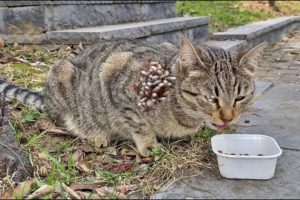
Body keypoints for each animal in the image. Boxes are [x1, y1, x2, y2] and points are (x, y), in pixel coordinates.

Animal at [0, 37, 268, 156]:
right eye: (211, 98)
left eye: (240, 98)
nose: (228, 118)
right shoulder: (116, 79)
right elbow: (139, 124)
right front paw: (149, 145)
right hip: (62, 73)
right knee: (65, 120)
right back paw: (95, 134)